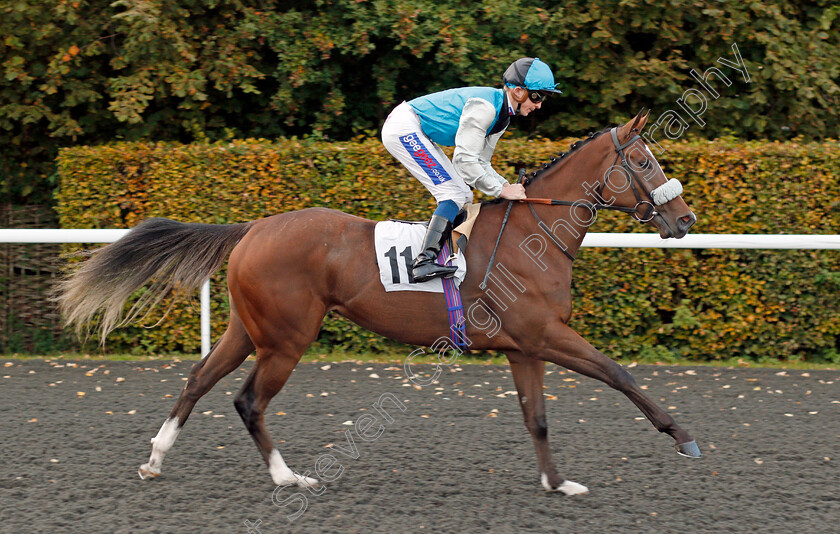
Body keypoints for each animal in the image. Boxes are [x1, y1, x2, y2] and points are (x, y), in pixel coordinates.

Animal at [59, 112, 700, 498]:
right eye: (645, 162)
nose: (685, 218)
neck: (532, 233)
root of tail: (254, 228)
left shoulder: (524, 348)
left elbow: (536, 417)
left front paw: (557, 484)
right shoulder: (545, 335)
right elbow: (618, 373)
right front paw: (682, 436)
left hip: (247, 329)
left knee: (197, 380)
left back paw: (156, 458)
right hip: (287, 339)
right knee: (248, 401)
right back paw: (290, 477)